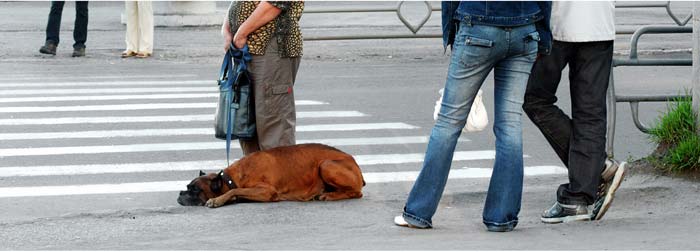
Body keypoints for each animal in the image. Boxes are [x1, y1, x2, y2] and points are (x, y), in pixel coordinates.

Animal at [176, 143, 366, 208]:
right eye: (187, 187)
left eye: (195, 190)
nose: (180, 193)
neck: (231, 178)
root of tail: (354, 162)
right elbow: (236, 192)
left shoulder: (266, 191)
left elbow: (233, 191)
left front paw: (217, 200)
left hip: (326, 164)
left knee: (356, 193)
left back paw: (330, 195)